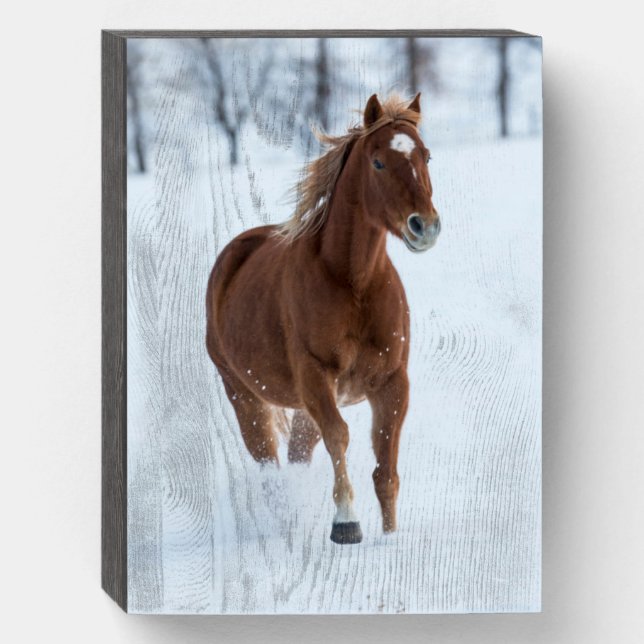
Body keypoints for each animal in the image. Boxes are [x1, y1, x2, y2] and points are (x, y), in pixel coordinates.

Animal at [206, 93, 440, 544]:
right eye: (378, 162)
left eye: (425, 155)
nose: (425, 227)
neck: (353, 282)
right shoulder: (316, 376)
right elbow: (340, 437)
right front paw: (346, 524)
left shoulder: (392, 382)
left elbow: (386, 468)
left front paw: (390, 537)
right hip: (244, 396)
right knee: (268, 461)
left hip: (300, 407)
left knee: (297, 452)